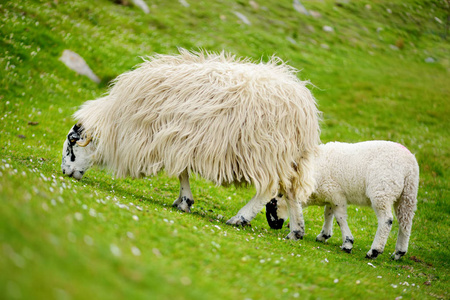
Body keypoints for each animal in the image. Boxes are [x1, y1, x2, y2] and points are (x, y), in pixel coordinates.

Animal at [61, 49, 322, 241]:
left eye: (72, 143)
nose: (64, 172)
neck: (116, 121)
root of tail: (304, 105)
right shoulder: (179, 141)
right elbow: (183, 172)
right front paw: (183, 201)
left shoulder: (174, 140)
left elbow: (182, 173)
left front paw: (185, 202)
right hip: (288, 156)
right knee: (290, 190)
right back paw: (296, 231)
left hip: (264, 151)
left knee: (268, 188)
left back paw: (240, 218)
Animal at [268, 141, 418, 260]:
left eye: (273, 203)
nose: (273, 226)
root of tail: (409, 164)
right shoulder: (331, 195)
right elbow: (328, 214)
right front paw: (324, 235)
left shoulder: (337, 194)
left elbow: (339, 218)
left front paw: (347, 243)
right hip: (408, 194)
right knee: (406, 222)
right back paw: (399, 252)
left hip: (382, 190)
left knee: (386, 220)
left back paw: (374, 251)